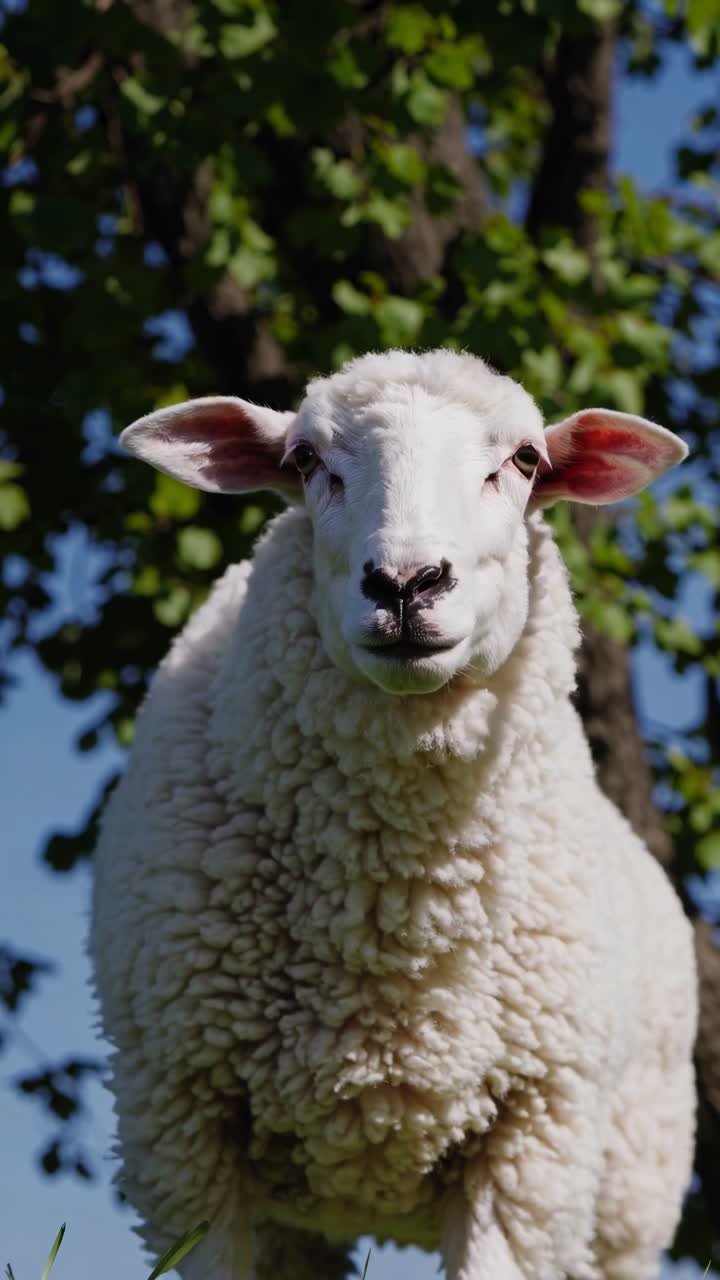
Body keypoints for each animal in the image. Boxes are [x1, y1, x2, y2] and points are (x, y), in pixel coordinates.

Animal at [92, 349, 696, 1280]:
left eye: (525, 459)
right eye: (306, 462)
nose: (407, 583)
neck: (390, 902)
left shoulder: (529, 1149)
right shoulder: (184, 1136)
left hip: (628, 1193)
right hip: (295, 1218)